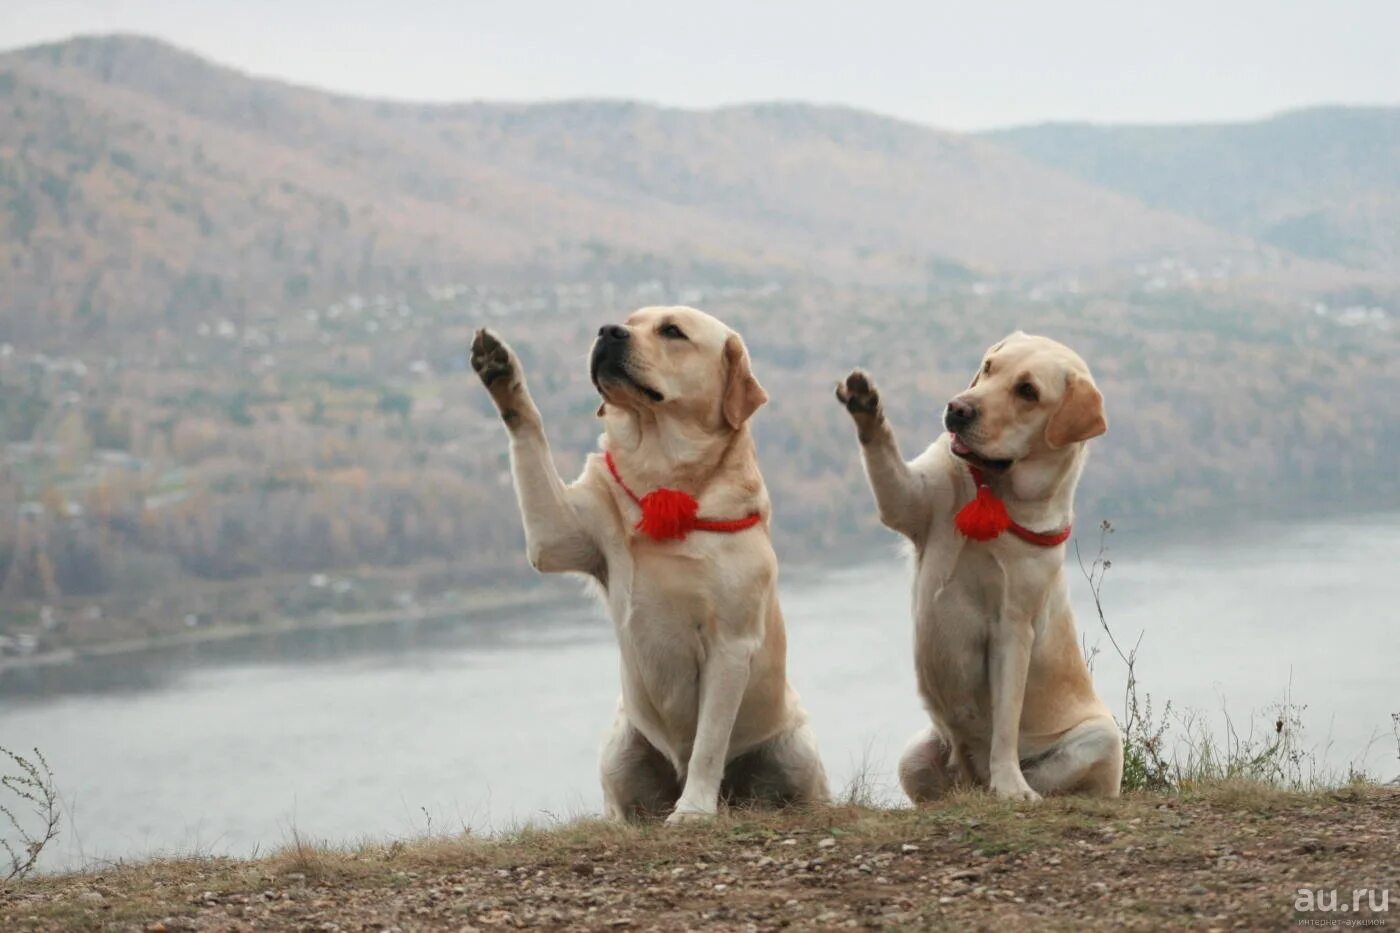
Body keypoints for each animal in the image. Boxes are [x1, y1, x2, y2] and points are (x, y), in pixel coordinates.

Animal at [476, 306, 823, 823]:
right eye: (629, 320)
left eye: (672, 331)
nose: (607, 331)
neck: (664, 476)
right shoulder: (556, 535)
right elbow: (529, 432)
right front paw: (501, 371)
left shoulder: (731, 644)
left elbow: (708, 743)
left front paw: (694, 810)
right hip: (620, 752)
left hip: (795, 750)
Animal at [834, 330, 1120, 795]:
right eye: (989, 367)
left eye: (1027, 391)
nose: (958, 408)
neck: (993, 490)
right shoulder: (910, 500)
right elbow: (890, 471)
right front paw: (866, 405)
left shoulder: (1012, 628)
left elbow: (1005, 721)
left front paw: (1009, 784)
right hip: (914, 756)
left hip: (1103, 735)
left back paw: (1005, 783)